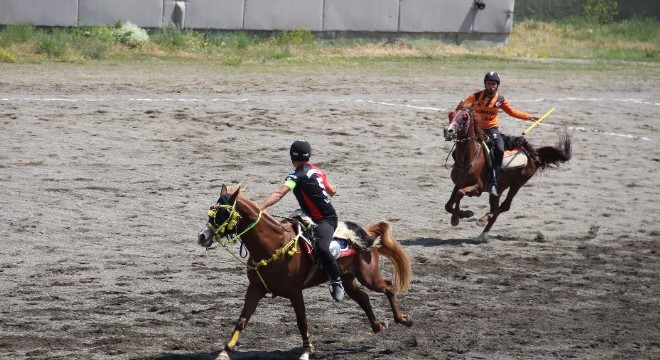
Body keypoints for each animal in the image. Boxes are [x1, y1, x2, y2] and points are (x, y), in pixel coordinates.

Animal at [196, 186, 412, 360]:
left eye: (224, 213)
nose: (202, 236)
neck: (274, 245)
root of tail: (366, 234)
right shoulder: (256, 288)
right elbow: (242, 320)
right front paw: (225, 351)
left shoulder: (295, 291)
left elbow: (302, 322)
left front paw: (307, 351)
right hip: (348, 280)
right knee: (364, 298)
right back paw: (378, 326)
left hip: (369, 277)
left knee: (388, 287)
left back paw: (403, 320)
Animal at [444, 108, 572, 240]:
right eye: (451, 115)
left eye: (464, 117)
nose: (448, 131)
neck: (470, 158)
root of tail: (533, 154)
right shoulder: (458, 184)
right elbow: (449, 204)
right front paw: (463, 214)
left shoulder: (477, 188)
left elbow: (460, 194)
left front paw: (457, 218)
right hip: (498, 190)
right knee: (496, 207)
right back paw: (483, 233)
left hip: (518, 183)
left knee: (505, 206)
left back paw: (484, 219)